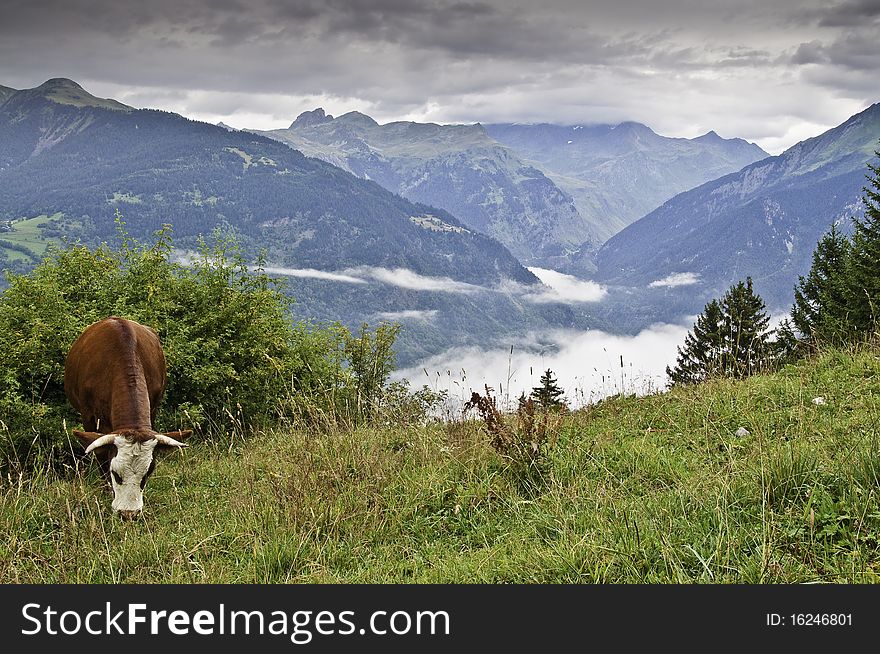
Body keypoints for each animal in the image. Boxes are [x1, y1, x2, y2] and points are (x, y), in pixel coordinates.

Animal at [64, 318, 192, 524]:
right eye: (115, 474)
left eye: (148, 473)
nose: (128, 514)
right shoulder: (88, 416)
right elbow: (100, 456)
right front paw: (106, 491)